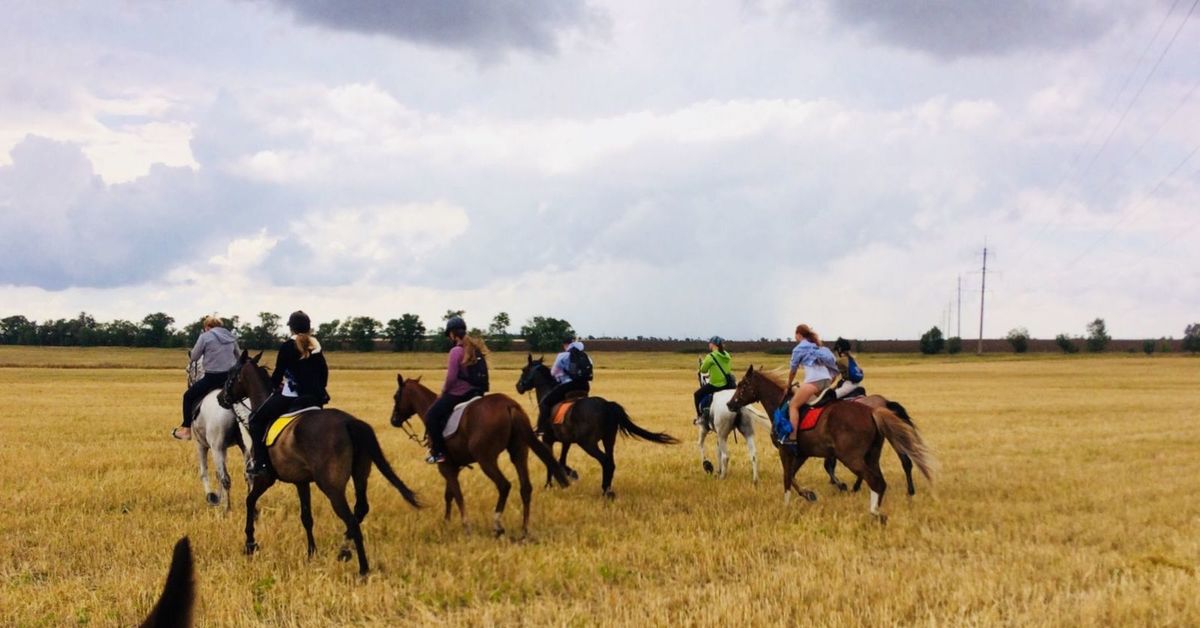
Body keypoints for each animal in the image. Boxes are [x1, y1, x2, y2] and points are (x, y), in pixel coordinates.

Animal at [184, 357, 250, 511]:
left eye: (187, 370)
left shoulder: (201, 445)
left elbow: (204, 472)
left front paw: (212, 497)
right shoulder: (225, 448)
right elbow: (217, 474)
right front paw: (220, 498)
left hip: (216, 448)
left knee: (225, 478)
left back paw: (227, 508)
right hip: (246, 447)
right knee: (248, 475)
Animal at [220, 350, 422, 578]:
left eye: (231, 374)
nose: (221, 398)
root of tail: (349, 422)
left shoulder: (265, 478)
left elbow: (250, 501)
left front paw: (250, 544)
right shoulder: (301, 482)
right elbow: (306, 516)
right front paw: (311, 553)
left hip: (332, 487)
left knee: (351, 520)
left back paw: (362, 569)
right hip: (360, 475)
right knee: (360, 509)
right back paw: (344, 551)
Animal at [388, 374, 566, 540]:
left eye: (396, 396)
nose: (393, 420)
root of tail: (509, 405)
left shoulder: (445, 467)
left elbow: (457, 495)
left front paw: (465, 525)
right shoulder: (453, 467)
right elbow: (449, 495)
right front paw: (446, 522)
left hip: (486, 460)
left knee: (504, 485)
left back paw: (497, 525)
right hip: (519, 453)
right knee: (526, 487)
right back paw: (524, 529)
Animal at [516, 355, 681, 499]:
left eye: (524, 370)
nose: (518, 387)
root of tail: (607, 405)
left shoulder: (547, 439)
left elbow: (550, 462)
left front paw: (549, 485)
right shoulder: (566, 441)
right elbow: (561, 460)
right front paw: (569, 475)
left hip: (588, 443)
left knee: (605, 461)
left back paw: (605, 491)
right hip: (608, 440)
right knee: (611, 463)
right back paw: (608, 490)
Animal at [720, 365, 936, 523]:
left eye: (743, 384)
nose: (730, 404)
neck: (781, 407)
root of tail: (873, 411)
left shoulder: (786, 451)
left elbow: (787, 477)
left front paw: (788, 503)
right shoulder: (801, 454)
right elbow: (793, 476)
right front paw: (808, 494)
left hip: (851, 457)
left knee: (876, 480)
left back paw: (875, 512)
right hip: (872, 456)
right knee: (882, 480)